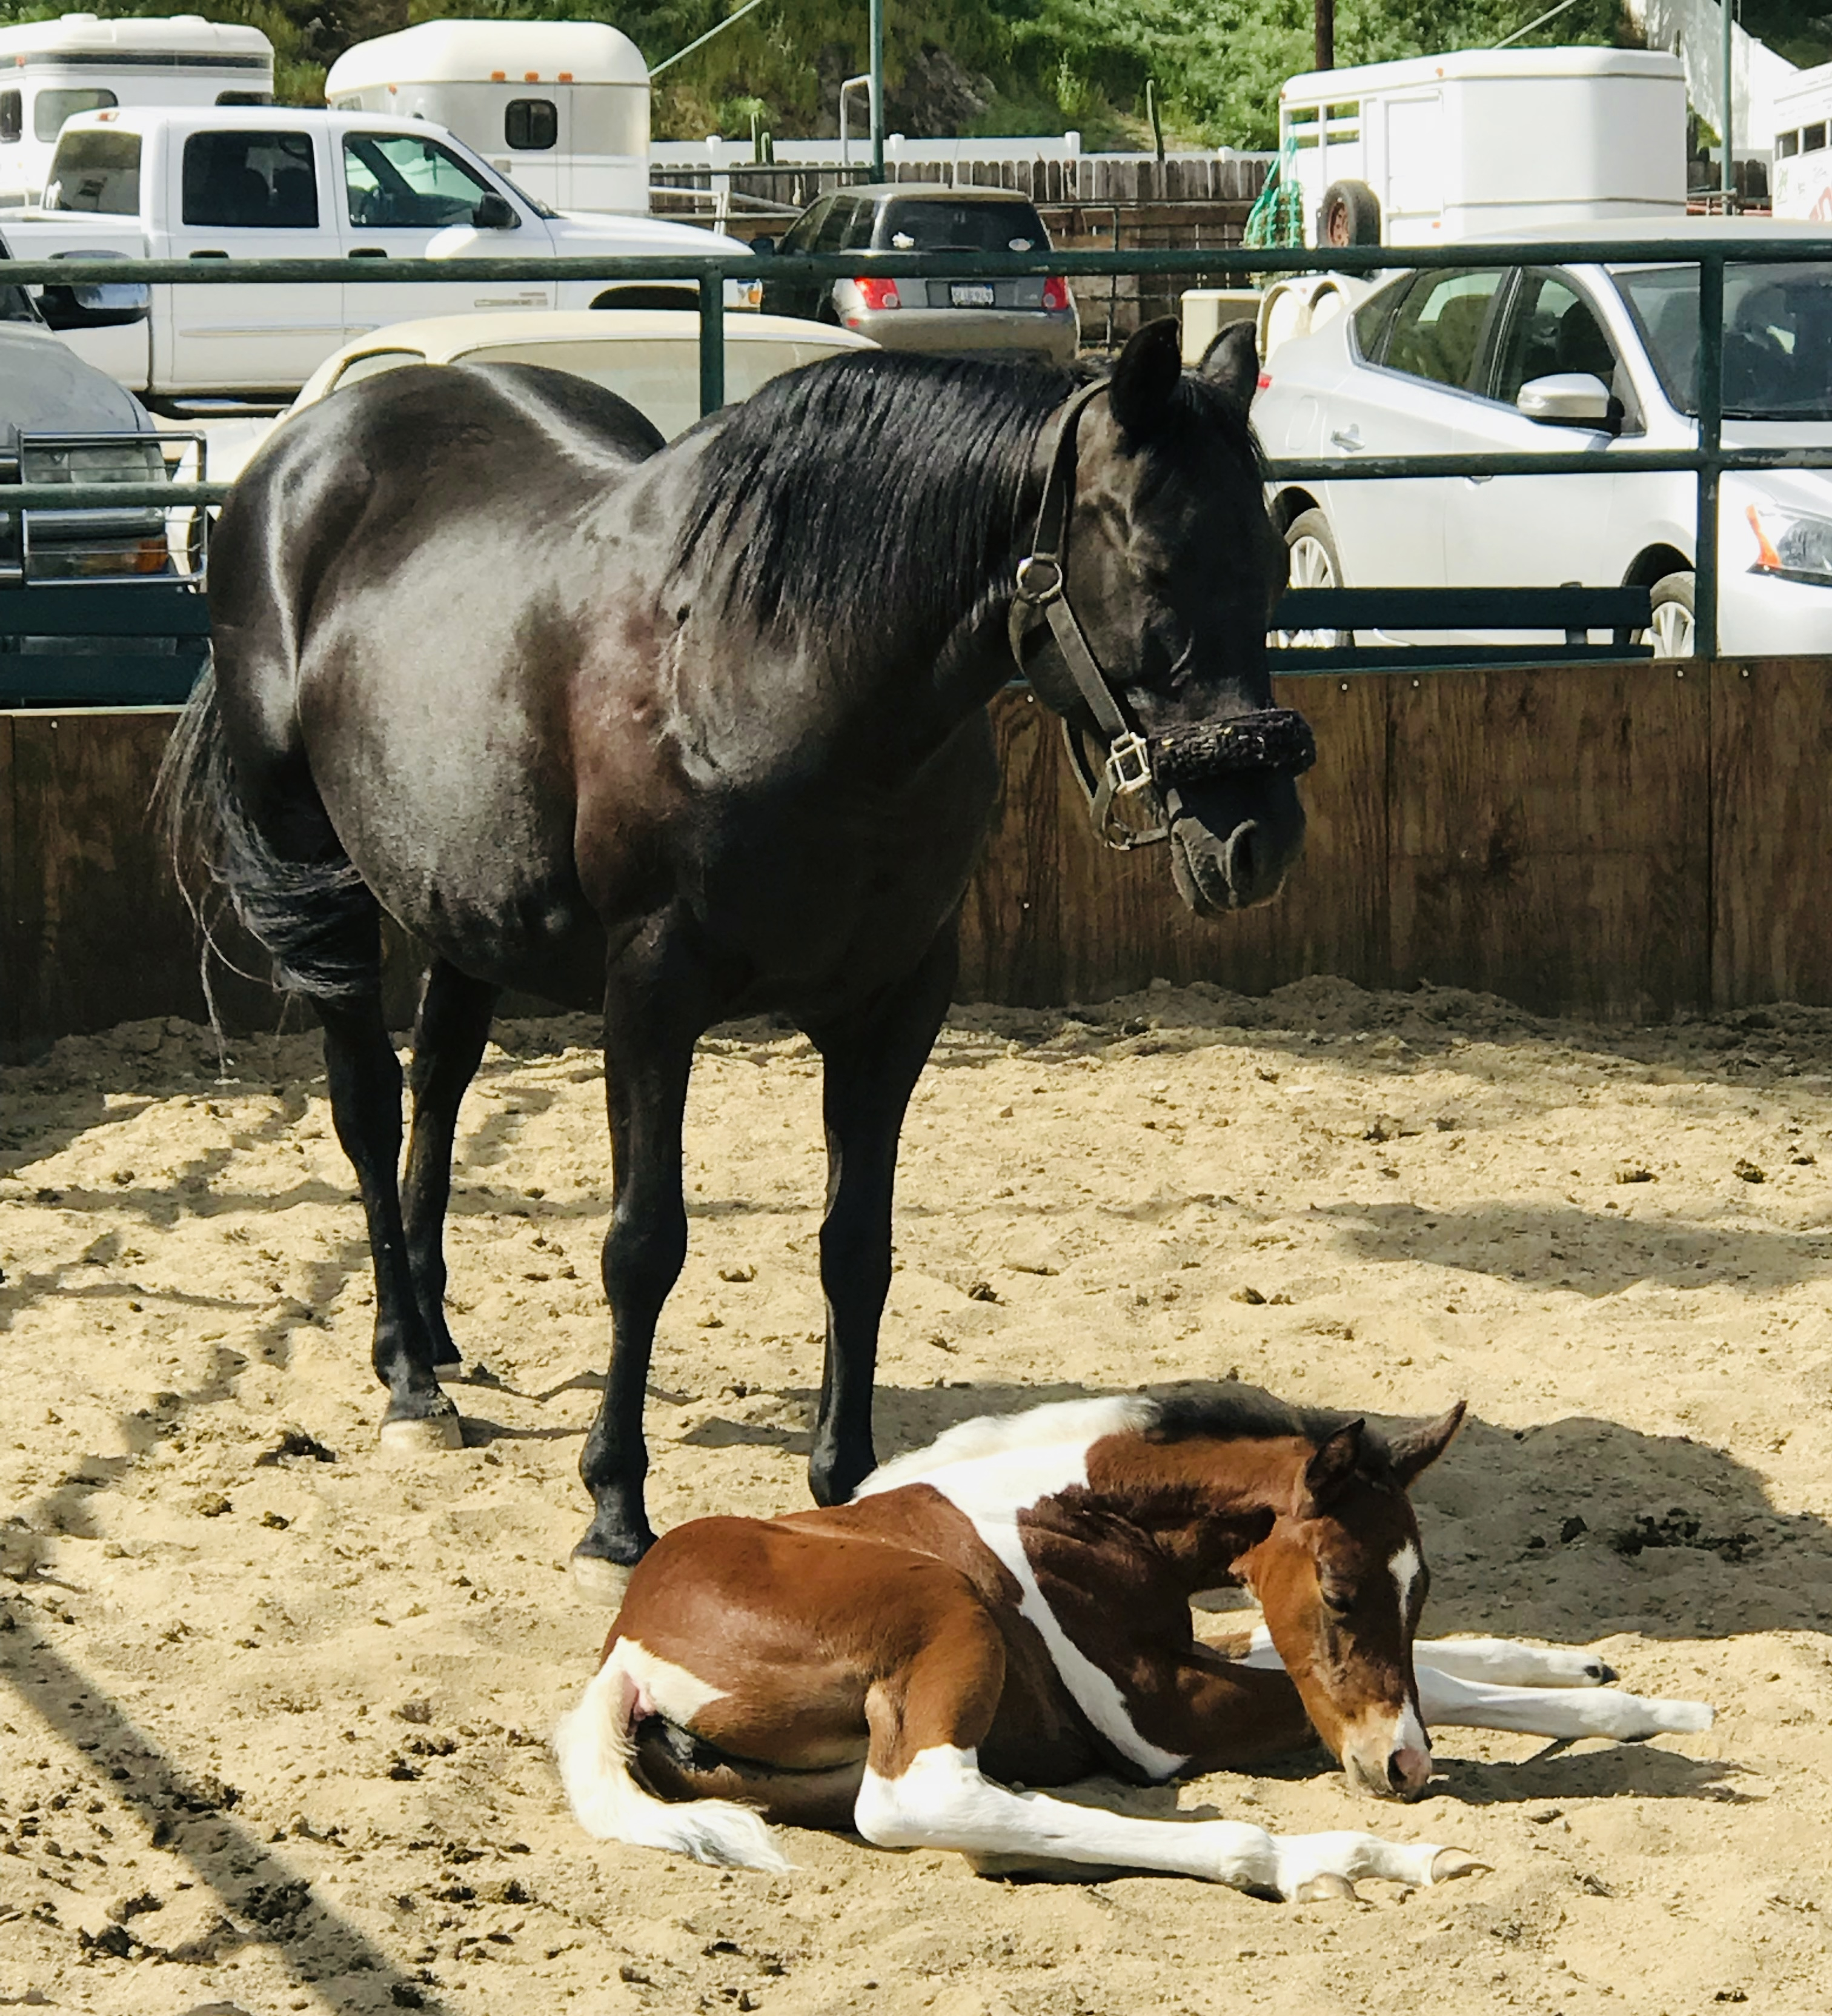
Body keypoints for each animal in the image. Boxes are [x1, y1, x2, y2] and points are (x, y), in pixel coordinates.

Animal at [154, 322, 1298, 1596]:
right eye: (1153, 571)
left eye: (1271, 562)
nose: (1256, 840)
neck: (778, 671)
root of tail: (299, 448)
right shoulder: (651, 998)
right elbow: (642, 1245)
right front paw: (613, 1511)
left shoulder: (893, 1009)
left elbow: (856, 1245)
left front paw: (846, 1481)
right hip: (319, 867)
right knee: (362, 1102)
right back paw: (407, 1374)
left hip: (458, 894)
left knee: (438, 1082)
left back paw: (439, 1334)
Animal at [552, 1395, 1709, 1895]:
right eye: (1339, 1590)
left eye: (1418, 1587)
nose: (1402, 1770)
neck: (1078, 1513)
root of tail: (621, 1646)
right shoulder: (1160, 1714)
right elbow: (1371, 1687)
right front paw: (1647, 1716)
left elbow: (1431, 1666)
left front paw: (1606, 1679)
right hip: (947, 1612)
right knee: (919, 1802)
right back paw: (1338, 1859)